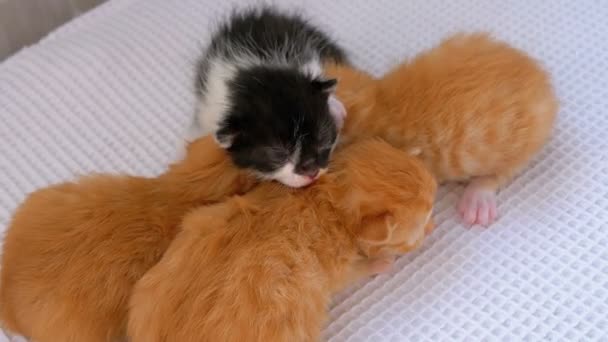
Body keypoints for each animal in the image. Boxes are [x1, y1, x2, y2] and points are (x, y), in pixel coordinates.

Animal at [127, 139, 436, 342]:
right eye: (420, 228)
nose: (433, 228)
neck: (329, 195)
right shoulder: (335, 267)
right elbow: (354, 271)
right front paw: (381, 263)